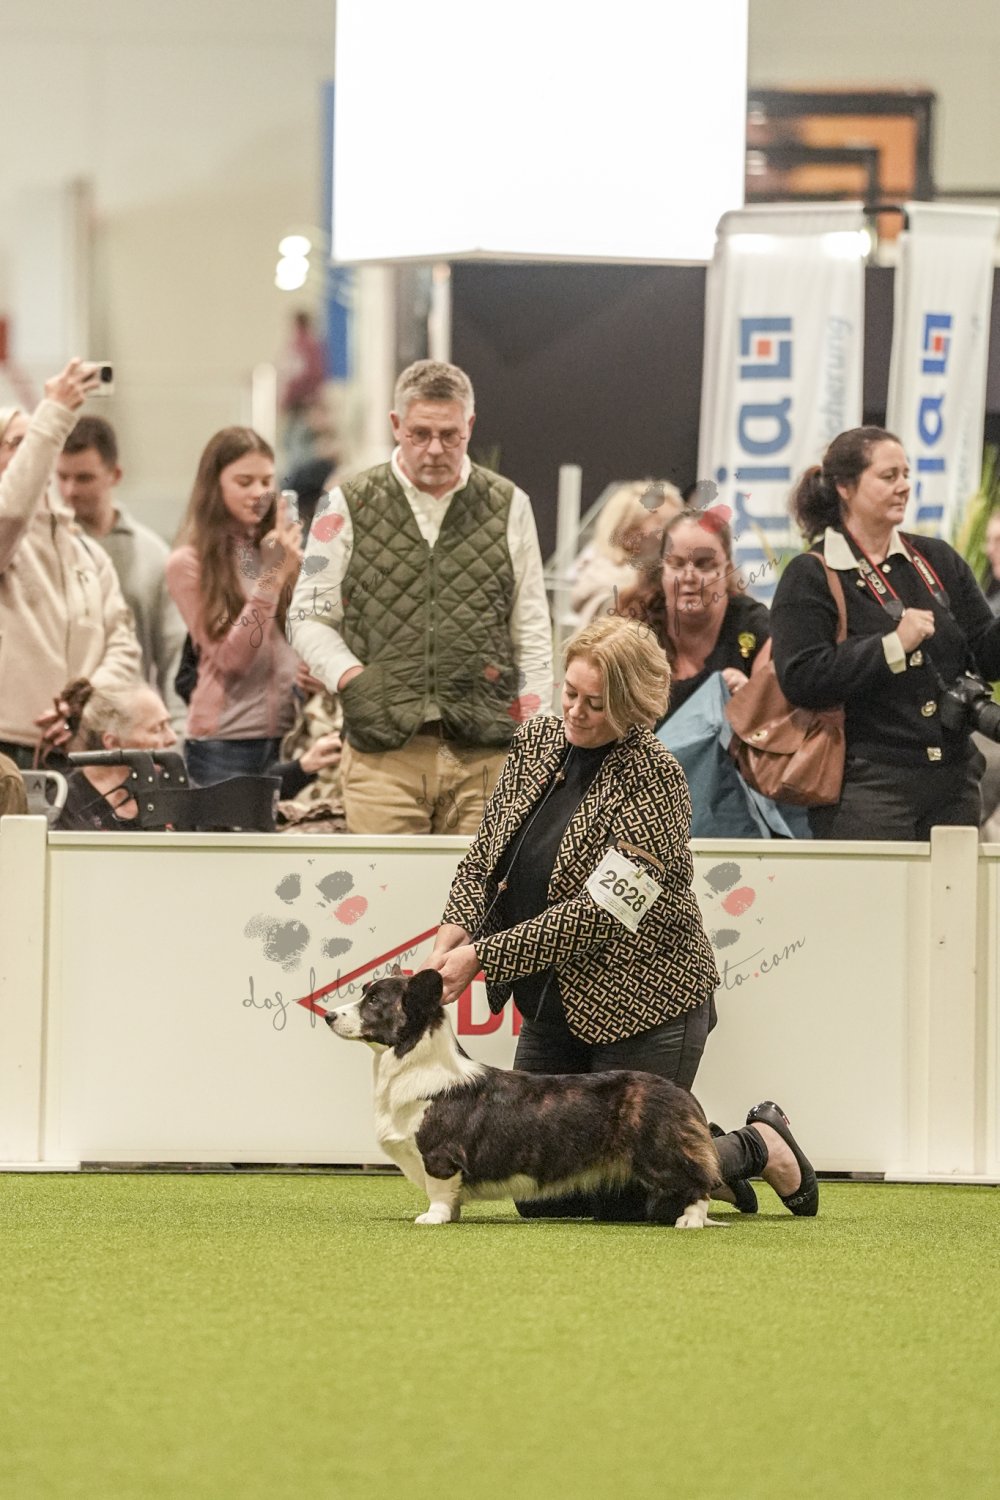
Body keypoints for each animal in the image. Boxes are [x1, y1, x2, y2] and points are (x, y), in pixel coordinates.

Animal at [325, 969, 720, 1227]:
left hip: (660, 1154)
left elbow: (439, 1191)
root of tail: (682, 1094)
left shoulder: (439, 1155)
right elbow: (452, 1198)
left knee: (701, 1183)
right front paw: (451, 1215)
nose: (327, 1015)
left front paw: (432, 1218)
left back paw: (690, 1221)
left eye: (375, 1000)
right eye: (365, 992)